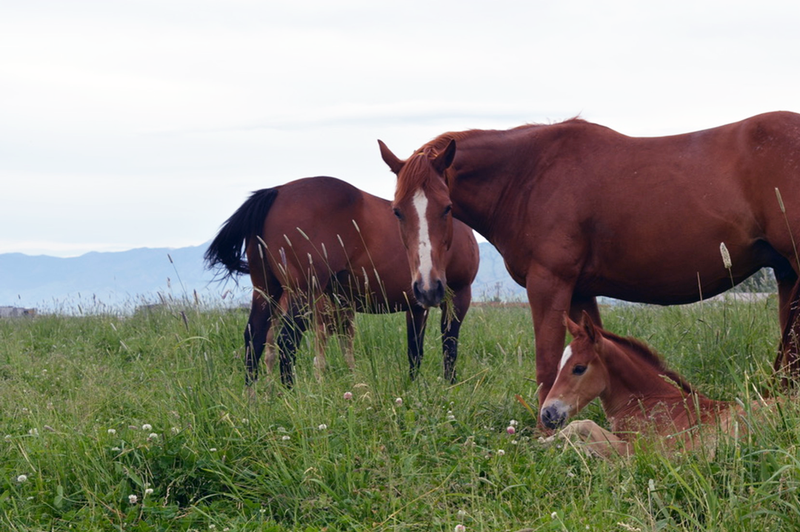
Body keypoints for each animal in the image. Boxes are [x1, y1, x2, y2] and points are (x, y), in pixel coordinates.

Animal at [206, 177, 482, 388]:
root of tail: (277, 191)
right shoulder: (458, 295)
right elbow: (449, 345)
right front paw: (450, 384)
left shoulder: (416, 304)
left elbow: (415, 350)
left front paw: (414, 386)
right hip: (301, 293)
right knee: (286, 342)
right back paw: (290, 395)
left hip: (266, 290)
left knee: (254, 338)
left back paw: (253, 398)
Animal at [378, 111, 800, 412]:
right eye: (397, 211)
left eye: (447, 207)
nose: (428, 288)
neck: (528, 175)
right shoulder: (580, 292)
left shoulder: (549, 284)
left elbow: (547, 365)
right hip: (786, 274)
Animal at [536, 314, 768, 460]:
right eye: (559, 366)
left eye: (579, 368)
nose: (547, 414)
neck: (648, 400)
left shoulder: (634, 448)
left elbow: (582, 424)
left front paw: (546, 444)